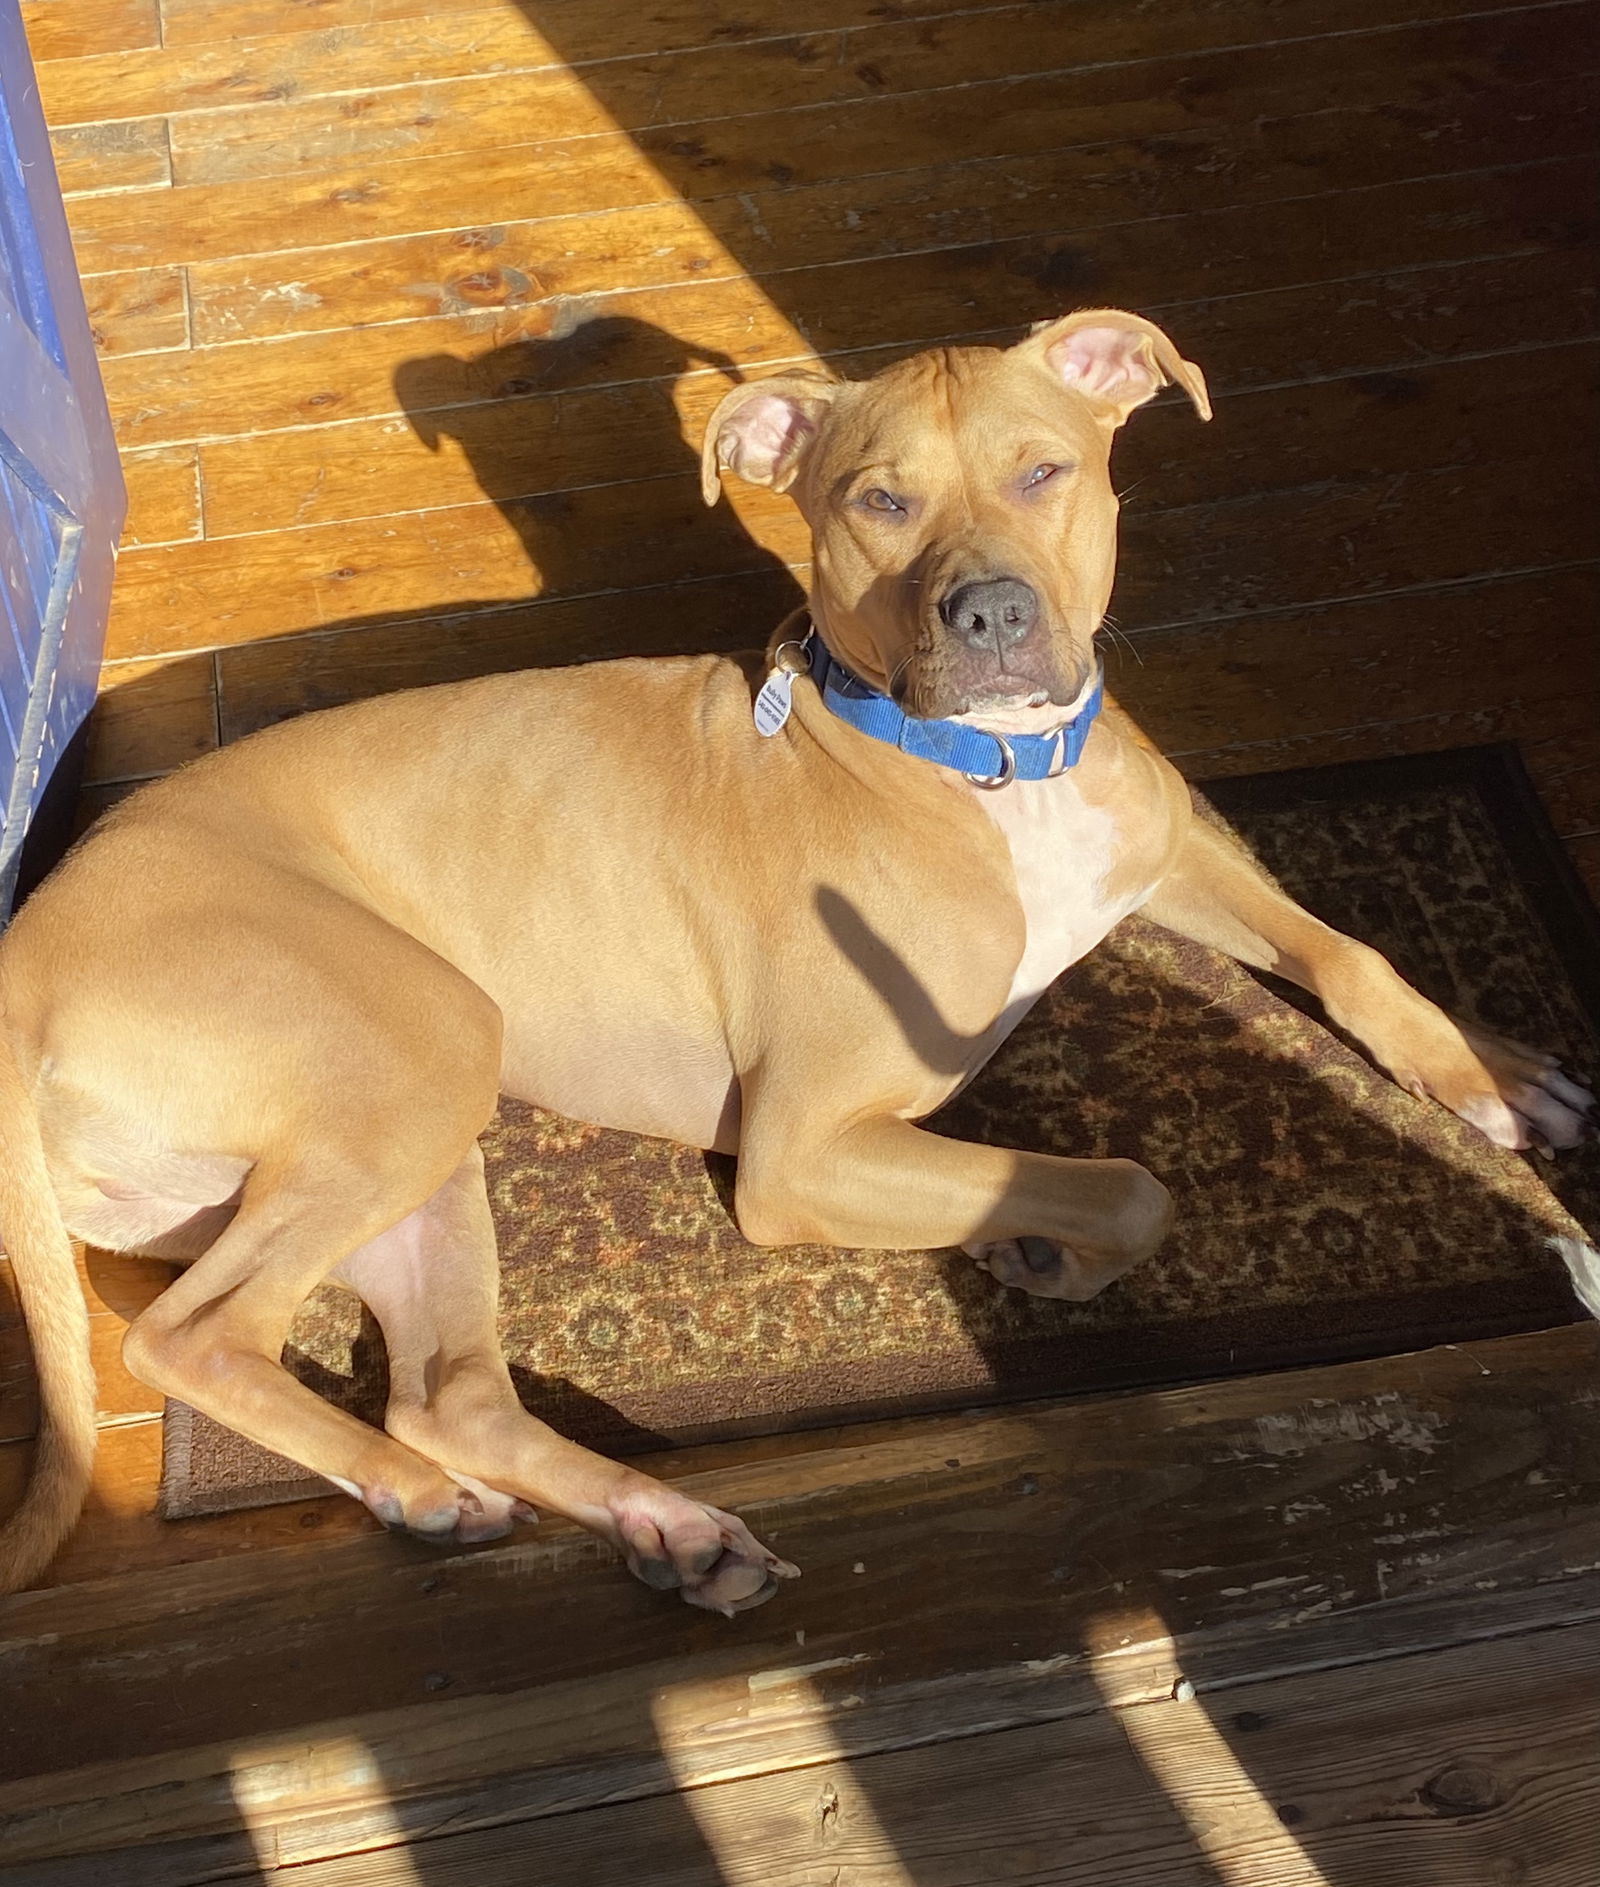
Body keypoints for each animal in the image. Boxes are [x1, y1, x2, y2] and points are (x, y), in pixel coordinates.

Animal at [0, 313, 1584, 1607]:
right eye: (879, 502)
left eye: (1044, 473)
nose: (991, 612)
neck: (993, 770)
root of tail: (28, 945)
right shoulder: (804, 1148)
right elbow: (1131, 1186)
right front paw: (1034, 1241)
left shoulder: (1170, 841)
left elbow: (1352, 951)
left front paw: (1496, 1068)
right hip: (417, 1043)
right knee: (197, 1341)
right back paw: (441, 1495)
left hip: (416, 1145)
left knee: (444, 1395)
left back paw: (658, 1525)